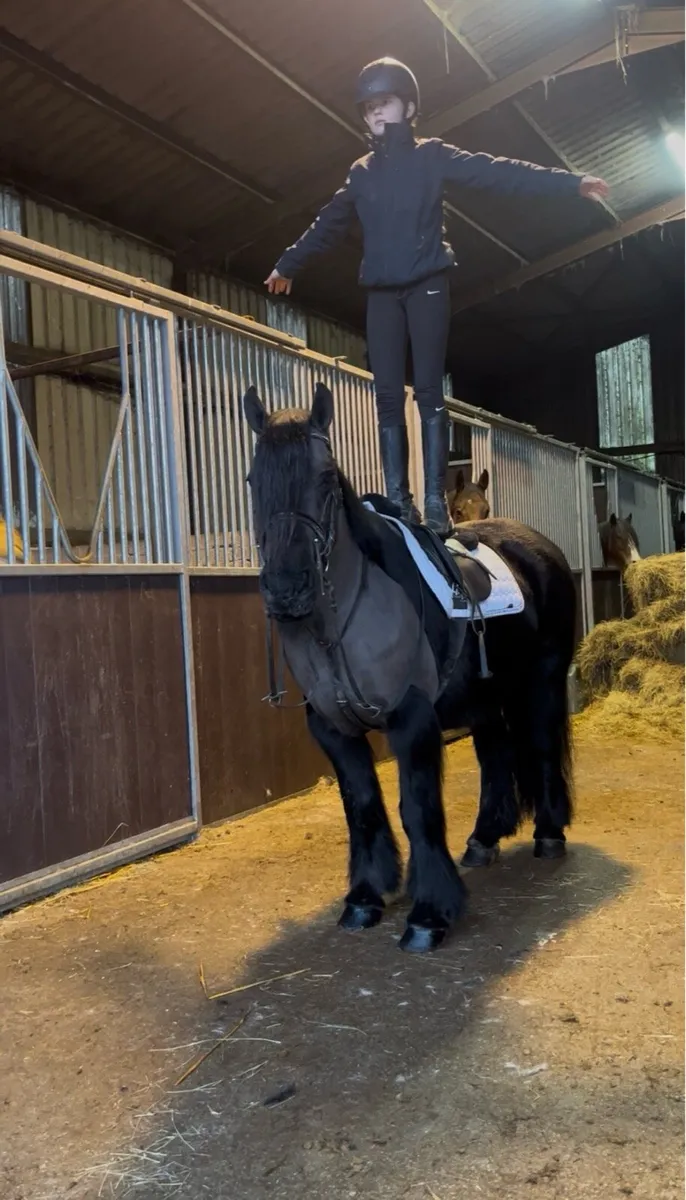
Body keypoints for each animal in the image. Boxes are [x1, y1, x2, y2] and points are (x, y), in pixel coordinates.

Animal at [244, 383, 577, 953]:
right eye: (251, 480)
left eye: (325, 479)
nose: (287, 590)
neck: (342, 622)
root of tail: (541, 548)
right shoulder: (334, 730)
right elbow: (363, 807)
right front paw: (365, 897)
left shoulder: (412, 720)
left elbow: (417, 810)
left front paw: (428, 916)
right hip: (487, 699)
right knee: (496, 754)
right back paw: (483, 839)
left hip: (544, 682)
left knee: (539, 746)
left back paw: (549, 834)